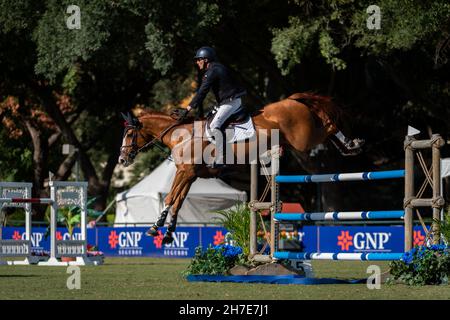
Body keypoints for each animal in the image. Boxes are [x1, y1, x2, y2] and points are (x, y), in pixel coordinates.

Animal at [119, 92, 356, 242]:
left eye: (129, 134)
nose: (122, 160)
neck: (182, 136)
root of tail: (290, 100)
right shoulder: (190, 175)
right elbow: (177, 202)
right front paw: (168, 233)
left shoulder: (184, 172)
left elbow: (169, 198)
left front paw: (154, 227)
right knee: (326, 122)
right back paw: (348, 145)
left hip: (302, 140)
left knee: (328, 125)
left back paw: (352, 143)